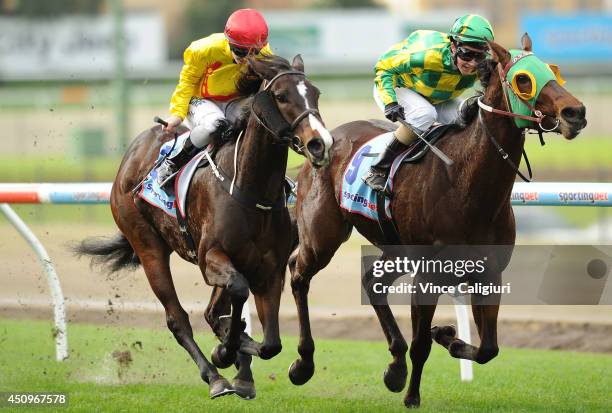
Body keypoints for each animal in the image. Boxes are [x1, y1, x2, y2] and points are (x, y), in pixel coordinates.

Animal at [77, 54, 334, 400]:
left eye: (316, 94)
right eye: (281, 96)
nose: (320, 144)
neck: (249, 189)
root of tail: (133, 152)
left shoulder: (270, 269)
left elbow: (271, 343)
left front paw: (242, 351)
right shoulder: (210, 257)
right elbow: (237, 293)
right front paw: (226, 350)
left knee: (215, 311)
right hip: (147, 246)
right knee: (177, 319)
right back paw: (215, 376)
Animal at [286, 33, 588, 408]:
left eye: (553, 71)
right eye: (523, 80)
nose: (576, 113)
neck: (466, 184)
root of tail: (321, 142)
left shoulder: (487, 273)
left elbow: (489, 348)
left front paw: (447, 337)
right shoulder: (427, 276)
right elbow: (421, 345)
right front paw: (413, 396)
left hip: (395, 249)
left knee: (373, 281)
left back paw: (395, 366)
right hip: (322, 238)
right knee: (298, 273)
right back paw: (303, 364)